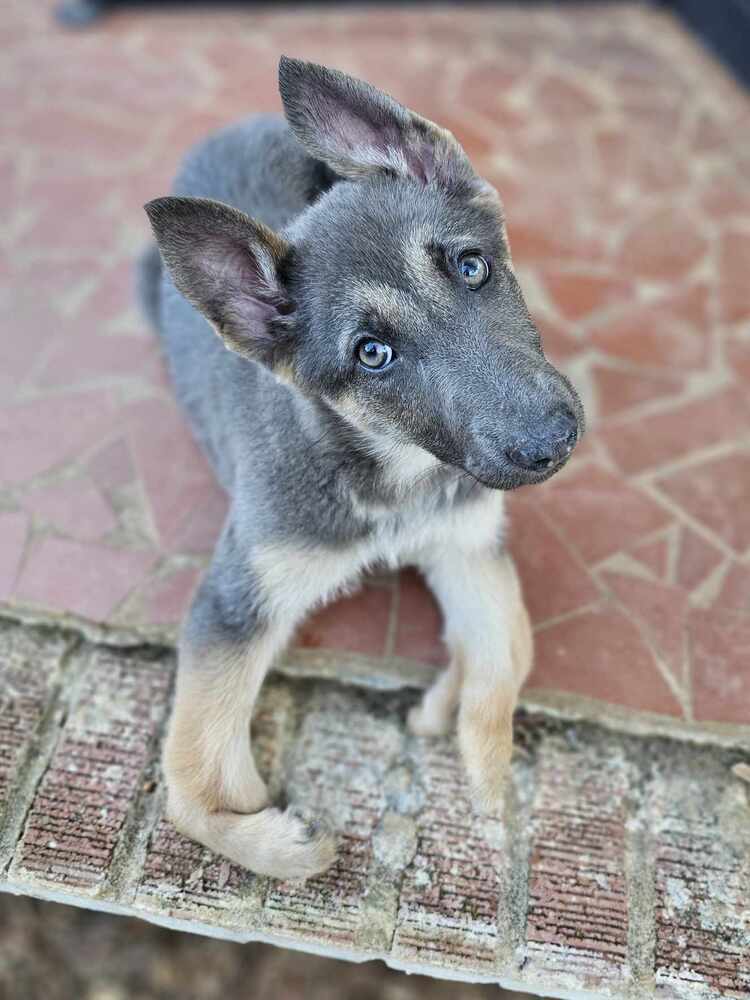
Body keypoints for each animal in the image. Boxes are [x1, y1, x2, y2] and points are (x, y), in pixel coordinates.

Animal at [142, 58, 588, 880]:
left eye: (472, 266)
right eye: (372, 354)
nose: (551, 442)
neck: (392, 467)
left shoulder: (469, 543)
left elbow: (507, 657)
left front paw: (466, 732)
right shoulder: (236, 600)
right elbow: (190, 785)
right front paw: (279, 844)